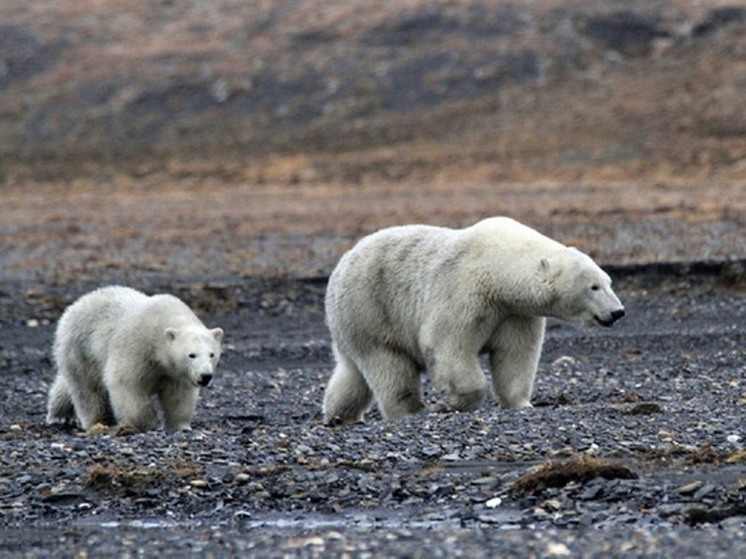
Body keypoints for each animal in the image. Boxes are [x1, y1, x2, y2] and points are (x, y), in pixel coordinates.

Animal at [45, 286, 221, 430]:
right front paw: (148, 423)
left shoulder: (175, 372)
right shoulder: (136, 348)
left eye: (212, 354)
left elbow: (178, 395)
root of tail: (74, 306)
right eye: (191, 355)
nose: (206, 376)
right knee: (88, 389)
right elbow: (126, 383)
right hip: (82, 348)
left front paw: (181, 426)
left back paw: (60, 414)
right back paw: (99, 421)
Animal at [324, 217, 620, 422]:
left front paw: (522, 403)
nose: (618, 312)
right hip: (371, 309)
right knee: (389, 365)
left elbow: (516, 355)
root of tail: (342, 264)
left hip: (352, 323)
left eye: (609, 281)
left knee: (351, 372)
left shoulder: (515, 313)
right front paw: (452, 402)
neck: (499, 271)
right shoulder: (464, 292)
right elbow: (448, 346)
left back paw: (339, 414)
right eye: (593, 287)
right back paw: (413, 409)